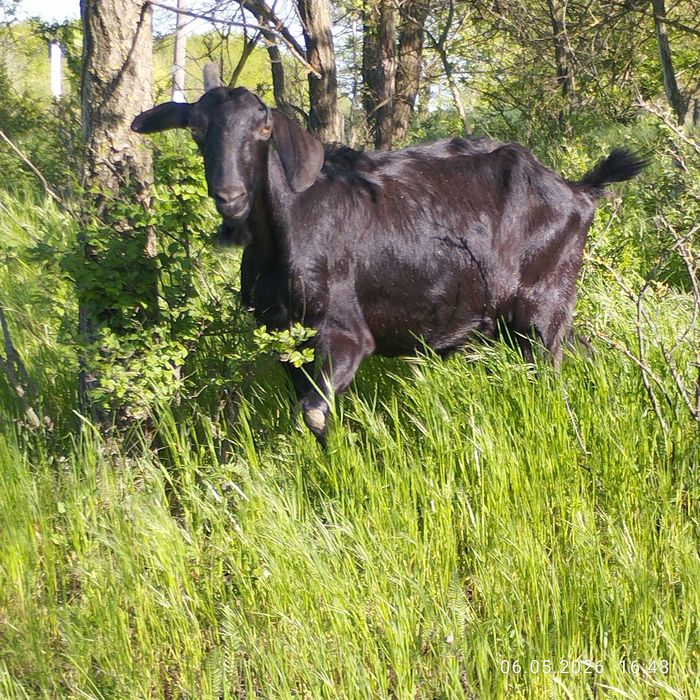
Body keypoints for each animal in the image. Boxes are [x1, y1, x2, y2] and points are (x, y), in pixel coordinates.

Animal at [132, 83, 646, 444]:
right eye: (197, 129)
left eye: (263, 129)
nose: (230, 196)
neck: (290, 226)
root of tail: (580, 191)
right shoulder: (283, 338)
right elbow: (310, 408)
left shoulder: (344, 332)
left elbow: (315, 411)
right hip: (525, 316)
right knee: (584, 350)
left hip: (542, 306)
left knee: (552, 369)